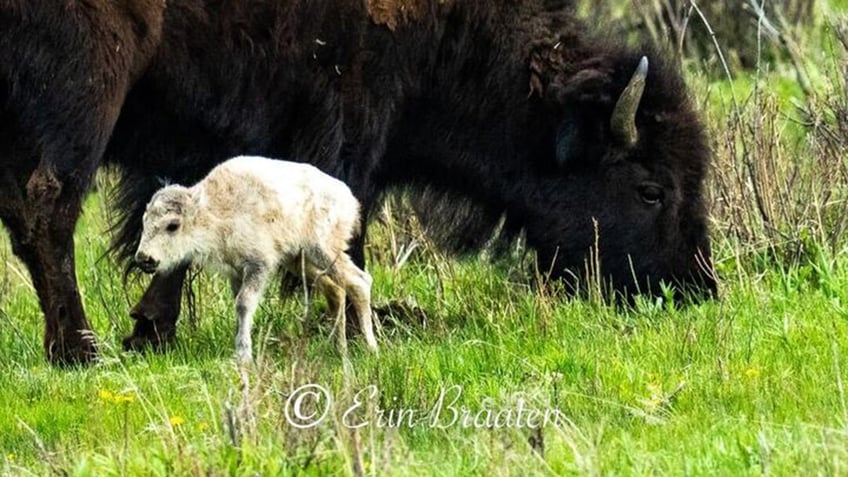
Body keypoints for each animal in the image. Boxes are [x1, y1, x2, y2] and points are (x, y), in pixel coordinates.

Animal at [135, 156, 378, 360]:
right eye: (144, 221)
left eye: (173, 225)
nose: (144, 258)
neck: (216, 210)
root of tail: (349, 199)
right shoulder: (236, 272)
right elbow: (238, 303)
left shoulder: (259, 265)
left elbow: (244, 303)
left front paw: (243, 354)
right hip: (300, 260)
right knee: (335, 290)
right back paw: (339, 349)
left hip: (323, 250)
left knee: (359, 281)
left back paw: (370, 347)